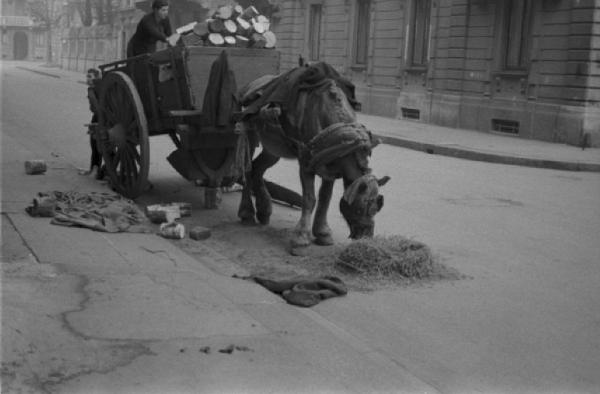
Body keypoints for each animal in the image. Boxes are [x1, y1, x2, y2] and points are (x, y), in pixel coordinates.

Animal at [234, 63, 390, 251]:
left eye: (377, 207)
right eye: (360, 207)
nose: (366, 235)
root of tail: (251, 85)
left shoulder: (332, 162)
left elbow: (325, 198)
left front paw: (322, 233)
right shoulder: (306, 160)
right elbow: (309, 199)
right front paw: (301, 238)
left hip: (274, 146)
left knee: (258, 168)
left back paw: (264, 211)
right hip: (249, 132)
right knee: (248, 169)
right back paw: (247, 213)